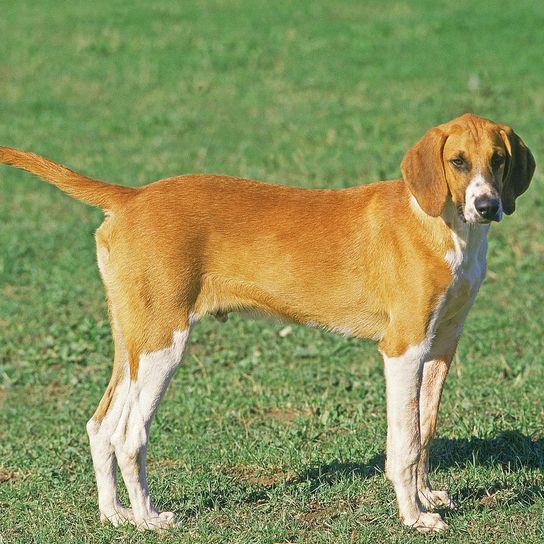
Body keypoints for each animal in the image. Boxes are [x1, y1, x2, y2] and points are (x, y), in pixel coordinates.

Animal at [0, 113, 536, 532]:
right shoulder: (403, 349)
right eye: (458, 162)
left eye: (498, 160)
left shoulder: (442, 346)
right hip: (163, 346)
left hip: (134, 341)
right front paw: (413, 517)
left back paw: (116, 515)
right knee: (130, 436)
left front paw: (427, 498)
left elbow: (424, 432)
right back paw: (149, 518)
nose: (487, 206)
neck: (441, 225)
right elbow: (403, 444)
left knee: (101, 426)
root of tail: (132, 196)